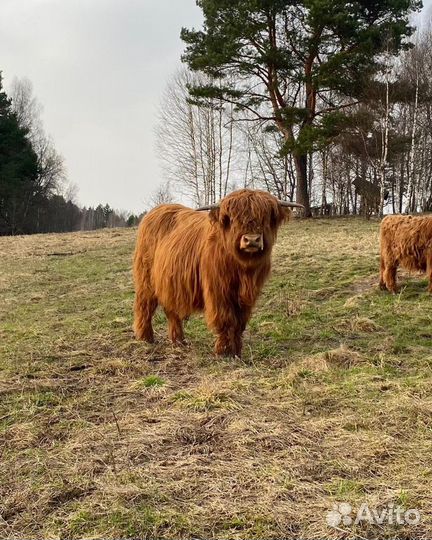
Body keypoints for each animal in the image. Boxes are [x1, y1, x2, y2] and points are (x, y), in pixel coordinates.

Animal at [133, 188, 302, 356]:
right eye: (234, 219)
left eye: (265, 217)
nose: (252, 240)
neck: (242, 269)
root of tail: (156, 210)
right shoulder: (219, 291)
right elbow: (226, 319)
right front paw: (223, 351)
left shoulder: (246, 296)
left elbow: (240, 322)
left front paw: (237, 351)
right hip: (145, 279)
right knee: (144, 306)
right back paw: (146, 338)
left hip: (170, 283)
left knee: (171, 310)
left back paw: (179, 341)